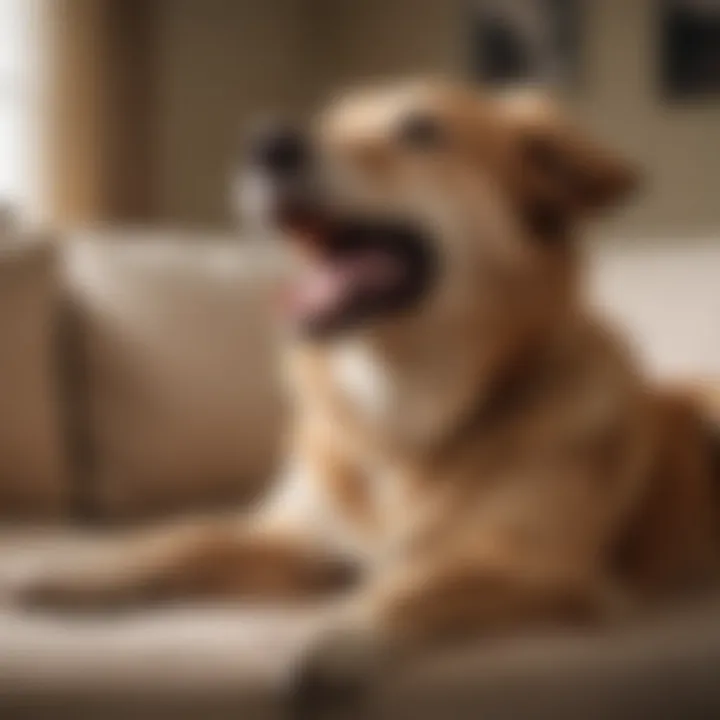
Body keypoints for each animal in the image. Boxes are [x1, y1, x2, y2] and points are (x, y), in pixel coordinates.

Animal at [11, 80, 720, 716]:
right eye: (328, 117)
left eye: (420, 128)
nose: (265, 143)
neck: (400, 414)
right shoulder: (301, 541)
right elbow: (185, 540)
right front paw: (77, 574)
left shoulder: (538, 566)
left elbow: (412, 581)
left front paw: (334, 638)